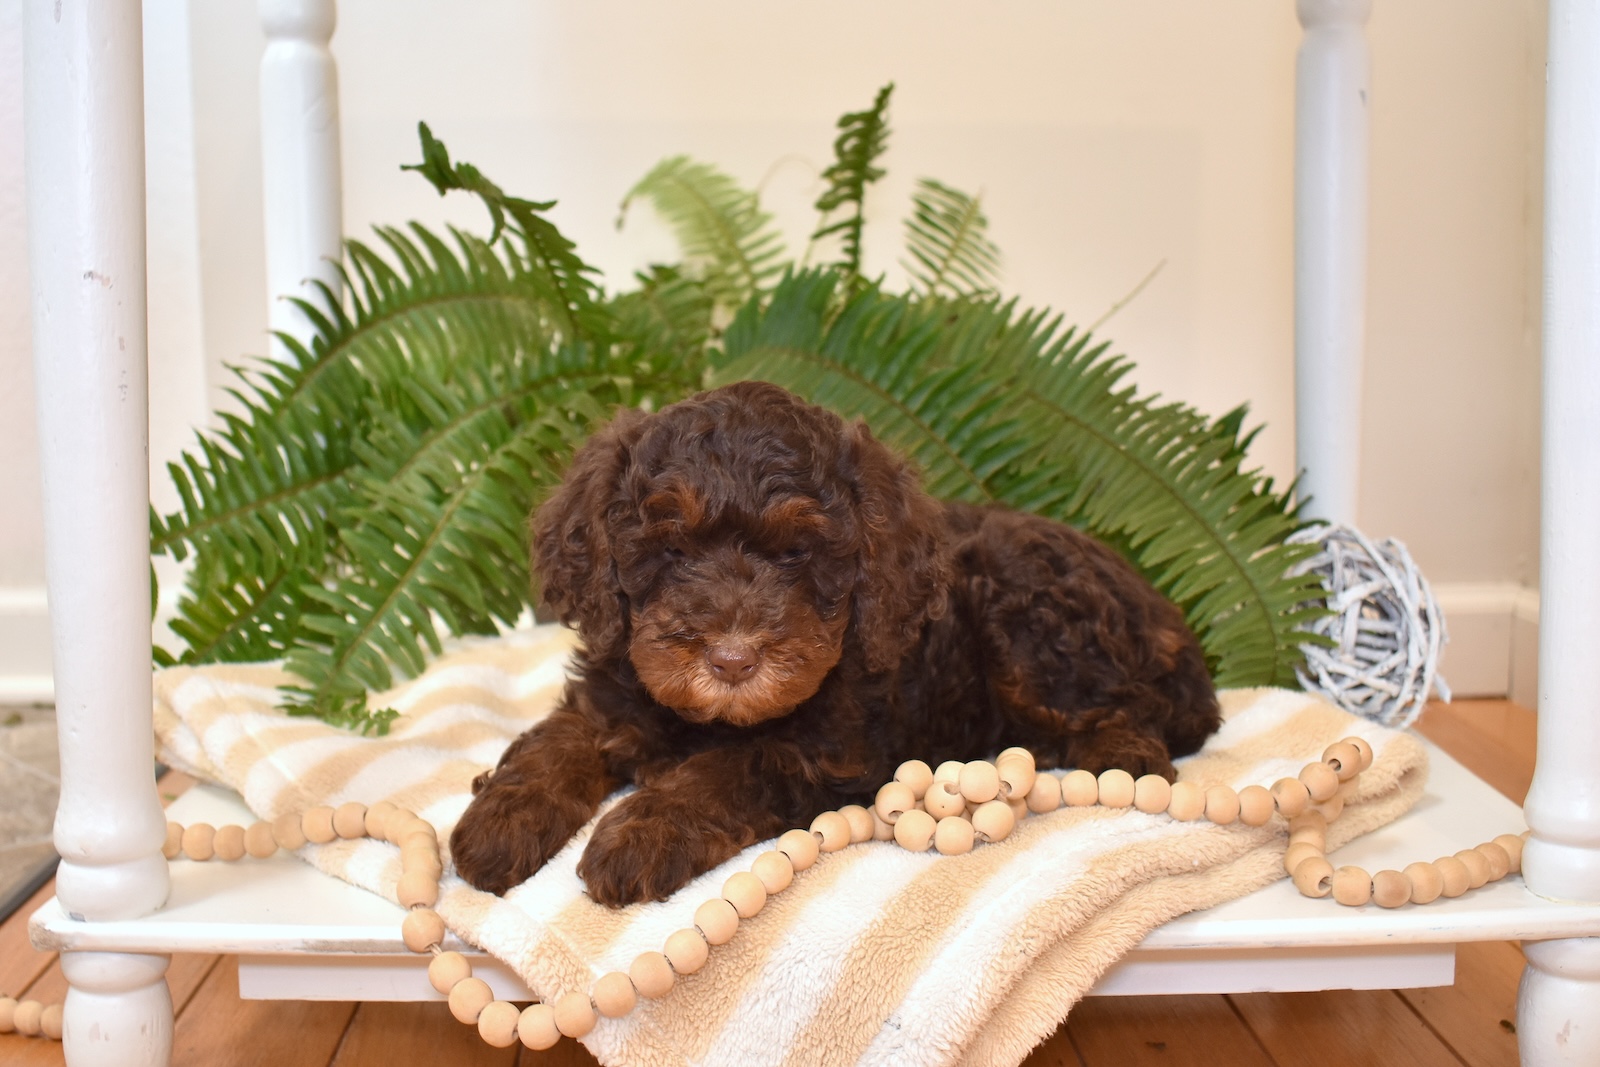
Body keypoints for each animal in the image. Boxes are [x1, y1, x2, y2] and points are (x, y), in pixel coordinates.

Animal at [450, 380, 1221, 905]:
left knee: (1131, 718)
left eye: (796, 552)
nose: (732, 660)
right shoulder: (611, 691)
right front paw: (499, 820)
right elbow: (554, 741)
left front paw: (642, 832)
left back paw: (1113, 756)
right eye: (671, 549)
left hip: (1034, 618)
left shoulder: (830, 750)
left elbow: (728, 769)